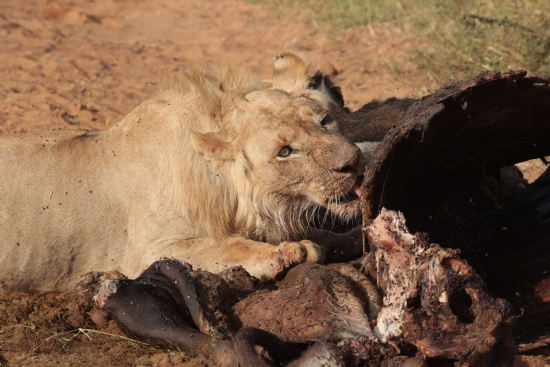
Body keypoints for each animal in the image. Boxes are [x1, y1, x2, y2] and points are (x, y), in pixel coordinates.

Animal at [1, 52, 366, 294]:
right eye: (285, 152)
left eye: (324, 121)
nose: (354, 160)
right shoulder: (144, 253)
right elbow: (225, 247)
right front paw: (286, 253)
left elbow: (325, 234)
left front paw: (352, 235)